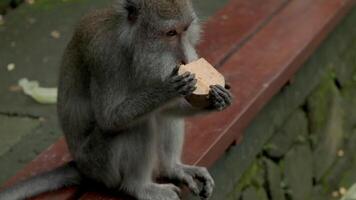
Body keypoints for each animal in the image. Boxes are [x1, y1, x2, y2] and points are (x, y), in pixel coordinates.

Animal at [0, 0, 232, 200]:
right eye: (170, 33)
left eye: (185, 30)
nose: (185, 58)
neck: (131, 47)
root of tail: (80, 166)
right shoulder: (105, 59)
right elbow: (109, 119)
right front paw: (165, 90)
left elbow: (167, 109)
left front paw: (216, 99)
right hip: (100, 164)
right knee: (138, 125)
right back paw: (139, 187)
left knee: (157, 116)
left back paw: (172, 168)